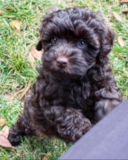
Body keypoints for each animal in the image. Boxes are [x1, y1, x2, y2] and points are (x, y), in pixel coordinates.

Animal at [8, 6, 123, 146]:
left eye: (82, 42)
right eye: (54, 39)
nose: (61, 61)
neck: (76, 79)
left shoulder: (104, 80)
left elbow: (110, 93)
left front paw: (109, 107)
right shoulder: (49, 101)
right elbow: (69, 116)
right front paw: (85, 131)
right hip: (32, 113)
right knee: (24, 123)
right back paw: (14, 136)